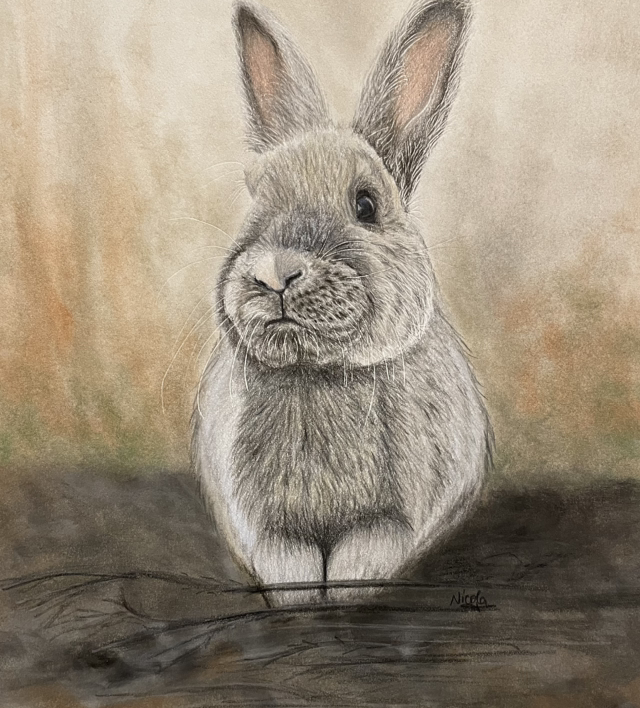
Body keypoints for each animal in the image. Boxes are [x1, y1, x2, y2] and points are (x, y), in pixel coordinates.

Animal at [192, 0, 493, 606]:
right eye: (256, 199)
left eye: (366, 204)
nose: (275, 270)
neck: (320, 374)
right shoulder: (260, 523)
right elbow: (284, 559)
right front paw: (300, 596)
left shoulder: (398, 517)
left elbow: (367, 551)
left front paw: (344, 592)